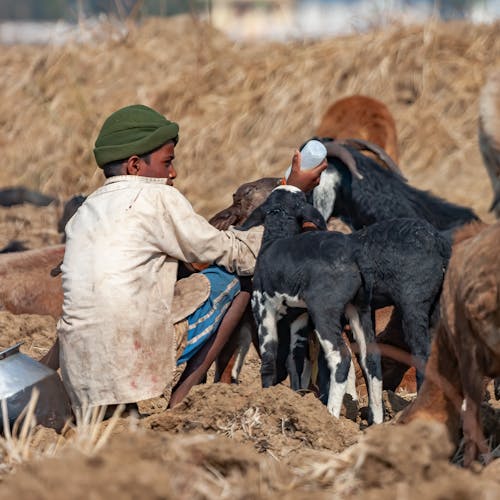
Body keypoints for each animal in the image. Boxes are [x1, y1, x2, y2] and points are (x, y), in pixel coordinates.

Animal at [240, 186, 452, 424]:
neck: (277, 237)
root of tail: (439, 242)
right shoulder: (301, 317)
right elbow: (295, 360)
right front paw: (297, 397)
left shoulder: (262, 304)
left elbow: (270, 355)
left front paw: (266, 396)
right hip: (404, 307)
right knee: (373, 357)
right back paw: (376, 420)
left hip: (401, 302)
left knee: (349, 356)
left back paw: (332, 415)